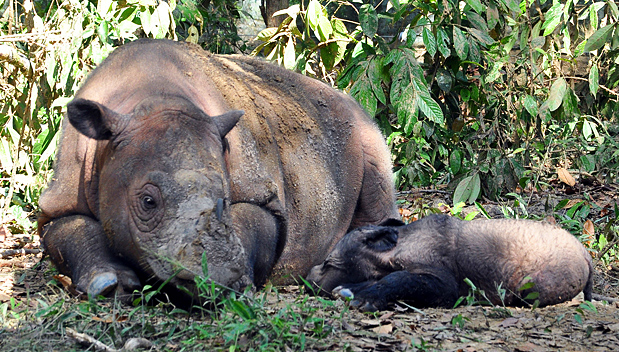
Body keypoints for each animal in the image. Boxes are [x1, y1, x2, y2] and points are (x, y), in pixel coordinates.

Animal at [38, 38, 398, 296]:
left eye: (224, 197)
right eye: (148, 202)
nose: (217, 276)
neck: (151, 98)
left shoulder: (259, 190)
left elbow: (253, 221)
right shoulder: (62, 193)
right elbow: (68, 230)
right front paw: (109, 284)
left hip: (359, 119)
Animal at [308, 214, 592, 310]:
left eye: (329, 264)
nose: (308, 279)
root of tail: (586, 254)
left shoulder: (445, 286)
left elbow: (399, 278)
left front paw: (365, 299)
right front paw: (350, 291)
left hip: (532, 287)